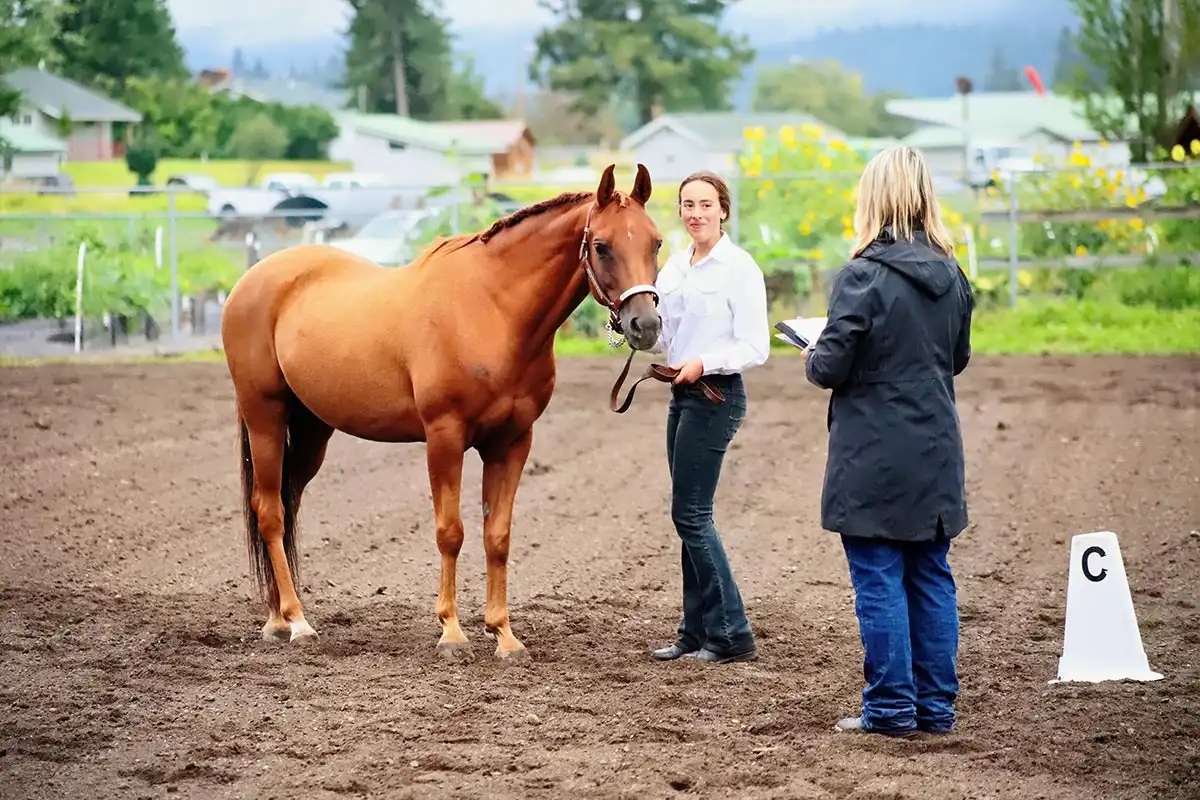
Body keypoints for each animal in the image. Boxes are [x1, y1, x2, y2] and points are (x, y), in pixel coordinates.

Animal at [220, 164, 666, 662]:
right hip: (264, 417)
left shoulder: (511, 442)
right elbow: (450, 532)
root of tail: (251, 280)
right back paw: (297, 622)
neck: (493, 309)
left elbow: (497, 536)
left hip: (313, 430)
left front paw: (504, 634)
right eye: (602, 245)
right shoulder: (445, 437)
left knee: (288, 502)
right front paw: (451, 632)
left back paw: (278, 616)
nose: (645, 325)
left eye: (655, 242)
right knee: (269, 512)